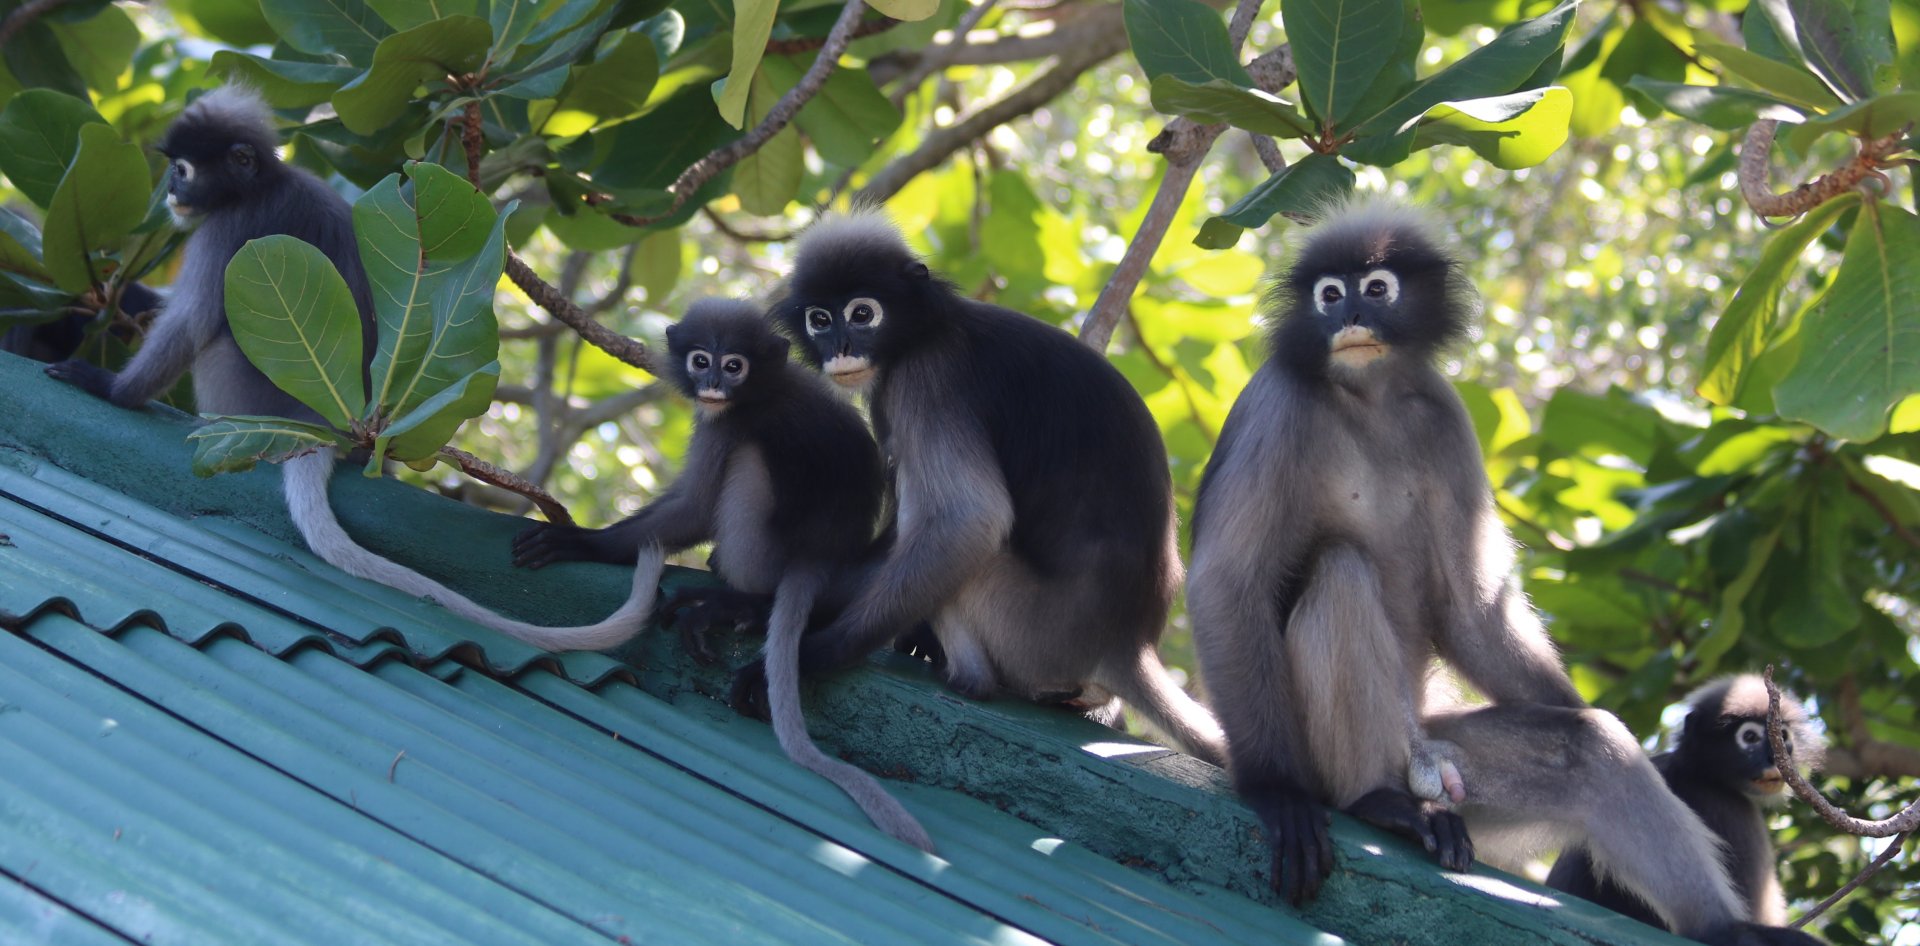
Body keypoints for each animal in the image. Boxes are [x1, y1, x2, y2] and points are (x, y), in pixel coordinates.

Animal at [44, 84, 662, 649]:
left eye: (183, 169)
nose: (171, 189)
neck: (263, 183)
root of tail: (325, 429)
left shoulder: (228, 227)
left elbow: (191, 321)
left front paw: (110, 387)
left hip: (239, 395)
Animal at [513, 300, 933, 853]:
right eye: (700, 361)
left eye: (734, 365)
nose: (712, 383)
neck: (764, 387)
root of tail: (819, 556)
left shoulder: (728, 425)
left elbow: (693, 508)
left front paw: (583, 541)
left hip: (759, 545)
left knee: (747, 469)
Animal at [718, 211, 1228, 768]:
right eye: (820, 320)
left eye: (862, 313)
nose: (842, 350)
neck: (928, 330)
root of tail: (1127, 644)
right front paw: (752, 608)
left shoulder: (927, 380)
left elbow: (968, 519)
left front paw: (812, 653)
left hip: (1031, 629)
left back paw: (967, 678)